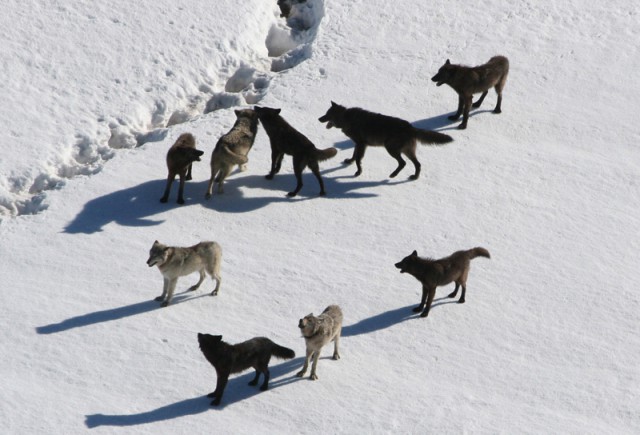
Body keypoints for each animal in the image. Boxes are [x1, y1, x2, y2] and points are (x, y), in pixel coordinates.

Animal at [318, 102, 452, 179]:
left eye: (327, 114)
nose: (319, 119)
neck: (346, 118)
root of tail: (410, 127)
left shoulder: (361, 144)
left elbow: (358, 159)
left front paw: (358, 172)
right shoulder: (358, 144)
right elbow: (354, 156)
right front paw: (349, 162)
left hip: (391, 148)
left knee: (403, 163)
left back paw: (393, 175)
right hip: (407, 151)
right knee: (417, 164)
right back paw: (414, 177)